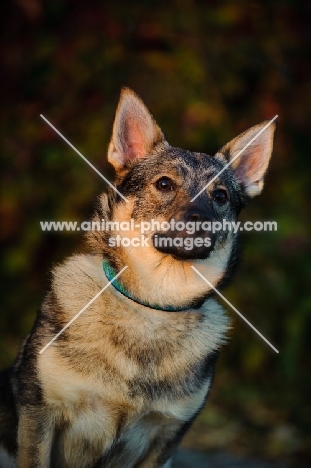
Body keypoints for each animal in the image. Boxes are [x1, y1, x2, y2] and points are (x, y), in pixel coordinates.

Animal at [0, 87, 276, 464]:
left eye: (220, 196)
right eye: (164, 184)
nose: (201, 219)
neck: (153, 306)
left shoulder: (165, 437)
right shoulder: (38, 415)